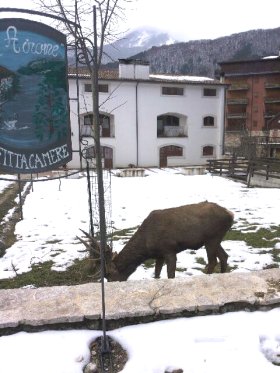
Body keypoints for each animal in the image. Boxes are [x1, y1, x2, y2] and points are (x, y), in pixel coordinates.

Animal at [79, 202, 234, 280]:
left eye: (109, 275)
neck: (147, 247)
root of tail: (230, 214)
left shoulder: (169, 249)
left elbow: (170, 275)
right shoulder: (159, 255)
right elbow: (157, 273)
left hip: (211, 238)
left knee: (213, 260)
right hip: (216, 239)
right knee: (224, 256)